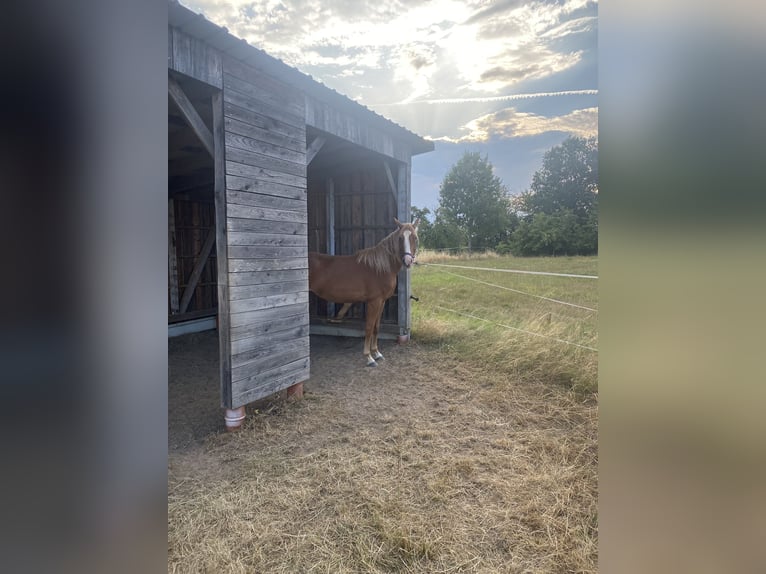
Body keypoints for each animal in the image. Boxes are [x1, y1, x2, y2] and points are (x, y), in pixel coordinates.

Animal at [308, 218, 420, 367]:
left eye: (415, 237)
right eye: (401, 238)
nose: (408, 261)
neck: (380, 268)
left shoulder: (382, 301)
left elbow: (376, 327)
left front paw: (377, 353)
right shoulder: (374, 301)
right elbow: (369, 327)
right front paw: (369, 357)